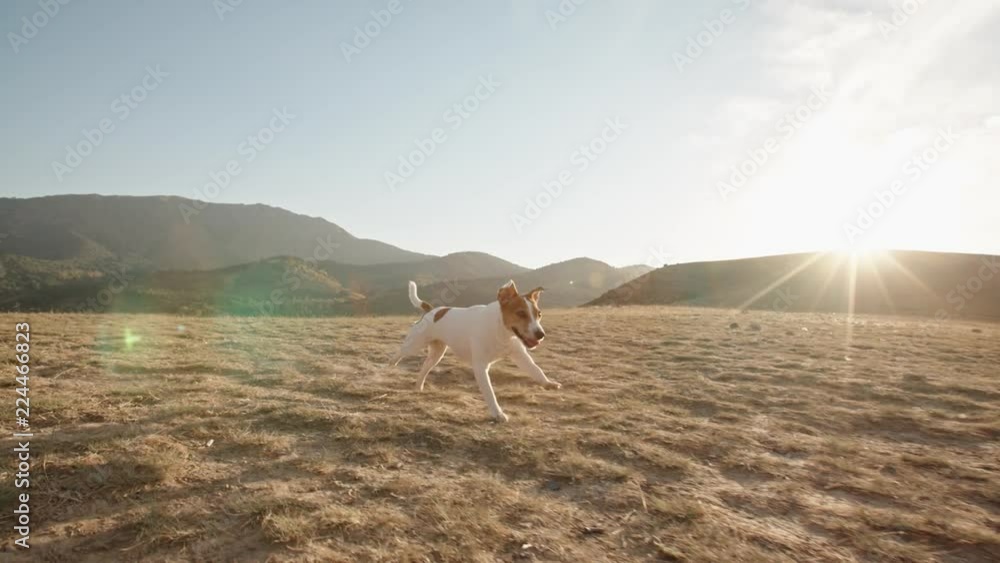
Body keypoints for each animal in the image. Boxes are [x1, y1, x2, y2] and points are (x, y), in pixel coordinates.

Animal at [390, 280, 564, 420]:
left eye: (539, 314)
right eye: (521, 313)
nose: (541, 334)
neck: (501, 331)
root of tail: (431, 310)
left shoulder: (520, 356)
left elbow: (536, 370)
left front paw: (548, 383)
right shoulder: (480, 367)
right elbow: (489, 392)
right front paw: (497, 413)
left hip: (436, 355)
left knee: (424, 369)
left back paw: (418, 387)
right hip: (414, 345)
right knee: (399, 352)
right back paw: (392, 364)